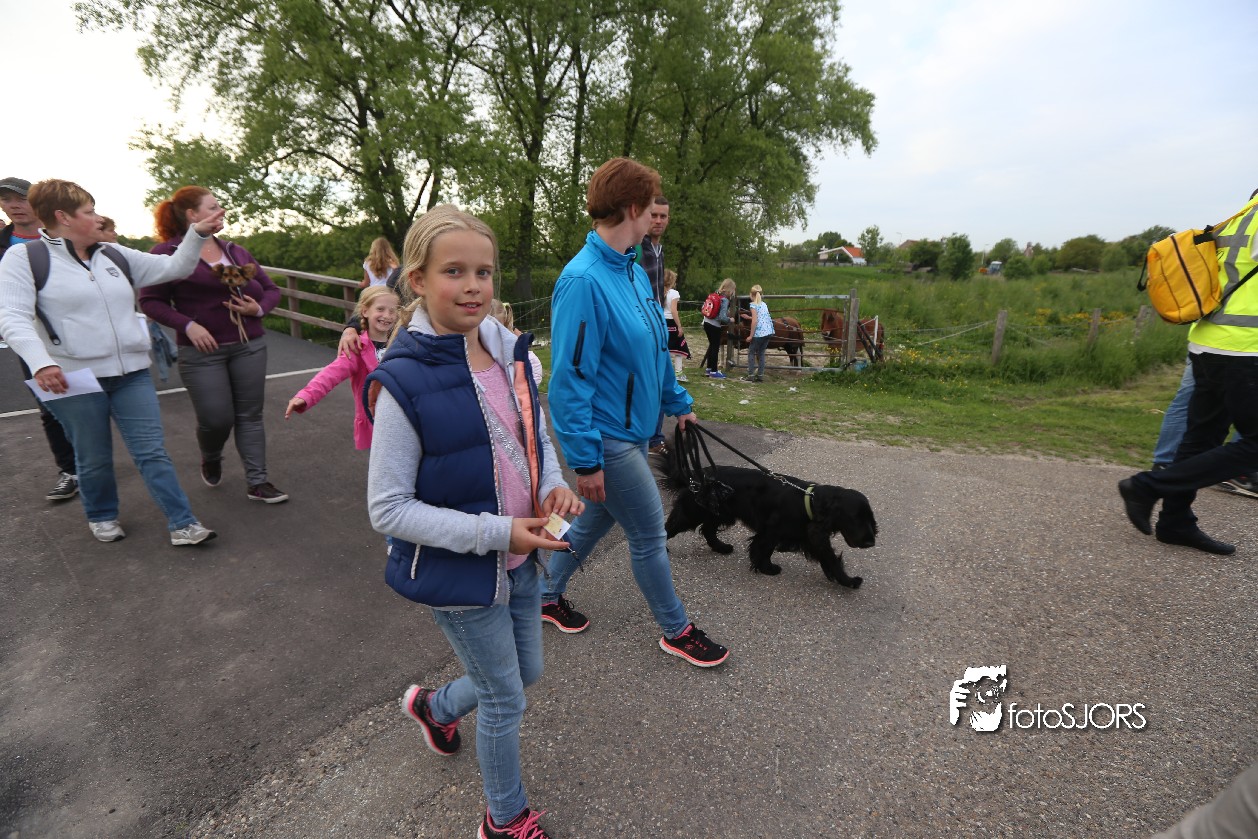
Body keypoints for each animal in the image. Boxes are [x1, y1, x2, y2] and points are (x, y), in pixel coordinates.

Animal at [664, 459, 877, 588]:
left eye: (869, 518)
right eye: (855, 518)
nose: (870, 542)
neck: (809, 501)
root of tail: (694, 475)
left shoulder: (811, 536)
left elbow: (830, 559)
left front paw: (848, 580)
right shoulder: (770, 531)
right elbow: (764, 548)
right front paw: (767, 568)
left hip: (721, 513)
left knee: (708, 529)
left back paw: (721, 547)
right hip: (693, 512)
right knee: (670, 527)